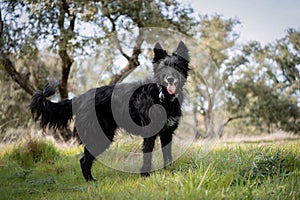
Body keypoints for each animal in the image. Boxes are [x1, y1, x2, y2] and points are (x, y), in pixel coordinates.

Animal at [30, 41, 190, 181]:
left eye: (177, 66)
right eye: (163, 68)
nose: (170, 79)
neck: (162, 96)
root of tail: (79, 98)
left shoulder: (167, 133)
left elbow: (168, 156)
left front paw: (169, 173)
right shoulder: (149, 133)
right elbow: (148, 155)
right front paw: (145, 175)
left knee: (84, 159)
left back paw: (91, 181)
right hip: (100, 136)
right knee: (84, 161)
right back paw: (91, 182)